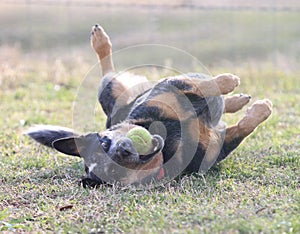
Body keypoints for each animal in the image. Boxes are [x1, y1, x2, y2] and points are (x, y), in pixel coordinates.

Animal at [27, 24, 274, 187]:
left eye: (104, 143)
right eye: (114, 170)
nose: (124, 149)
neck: (170, 138)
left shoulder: (169, 87)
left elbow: (202, 85)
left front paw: (230, 82)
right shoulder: (220, 145)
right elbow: (244, 127)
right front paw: (262, 109)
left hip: (115, 90)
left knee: (108, 72)